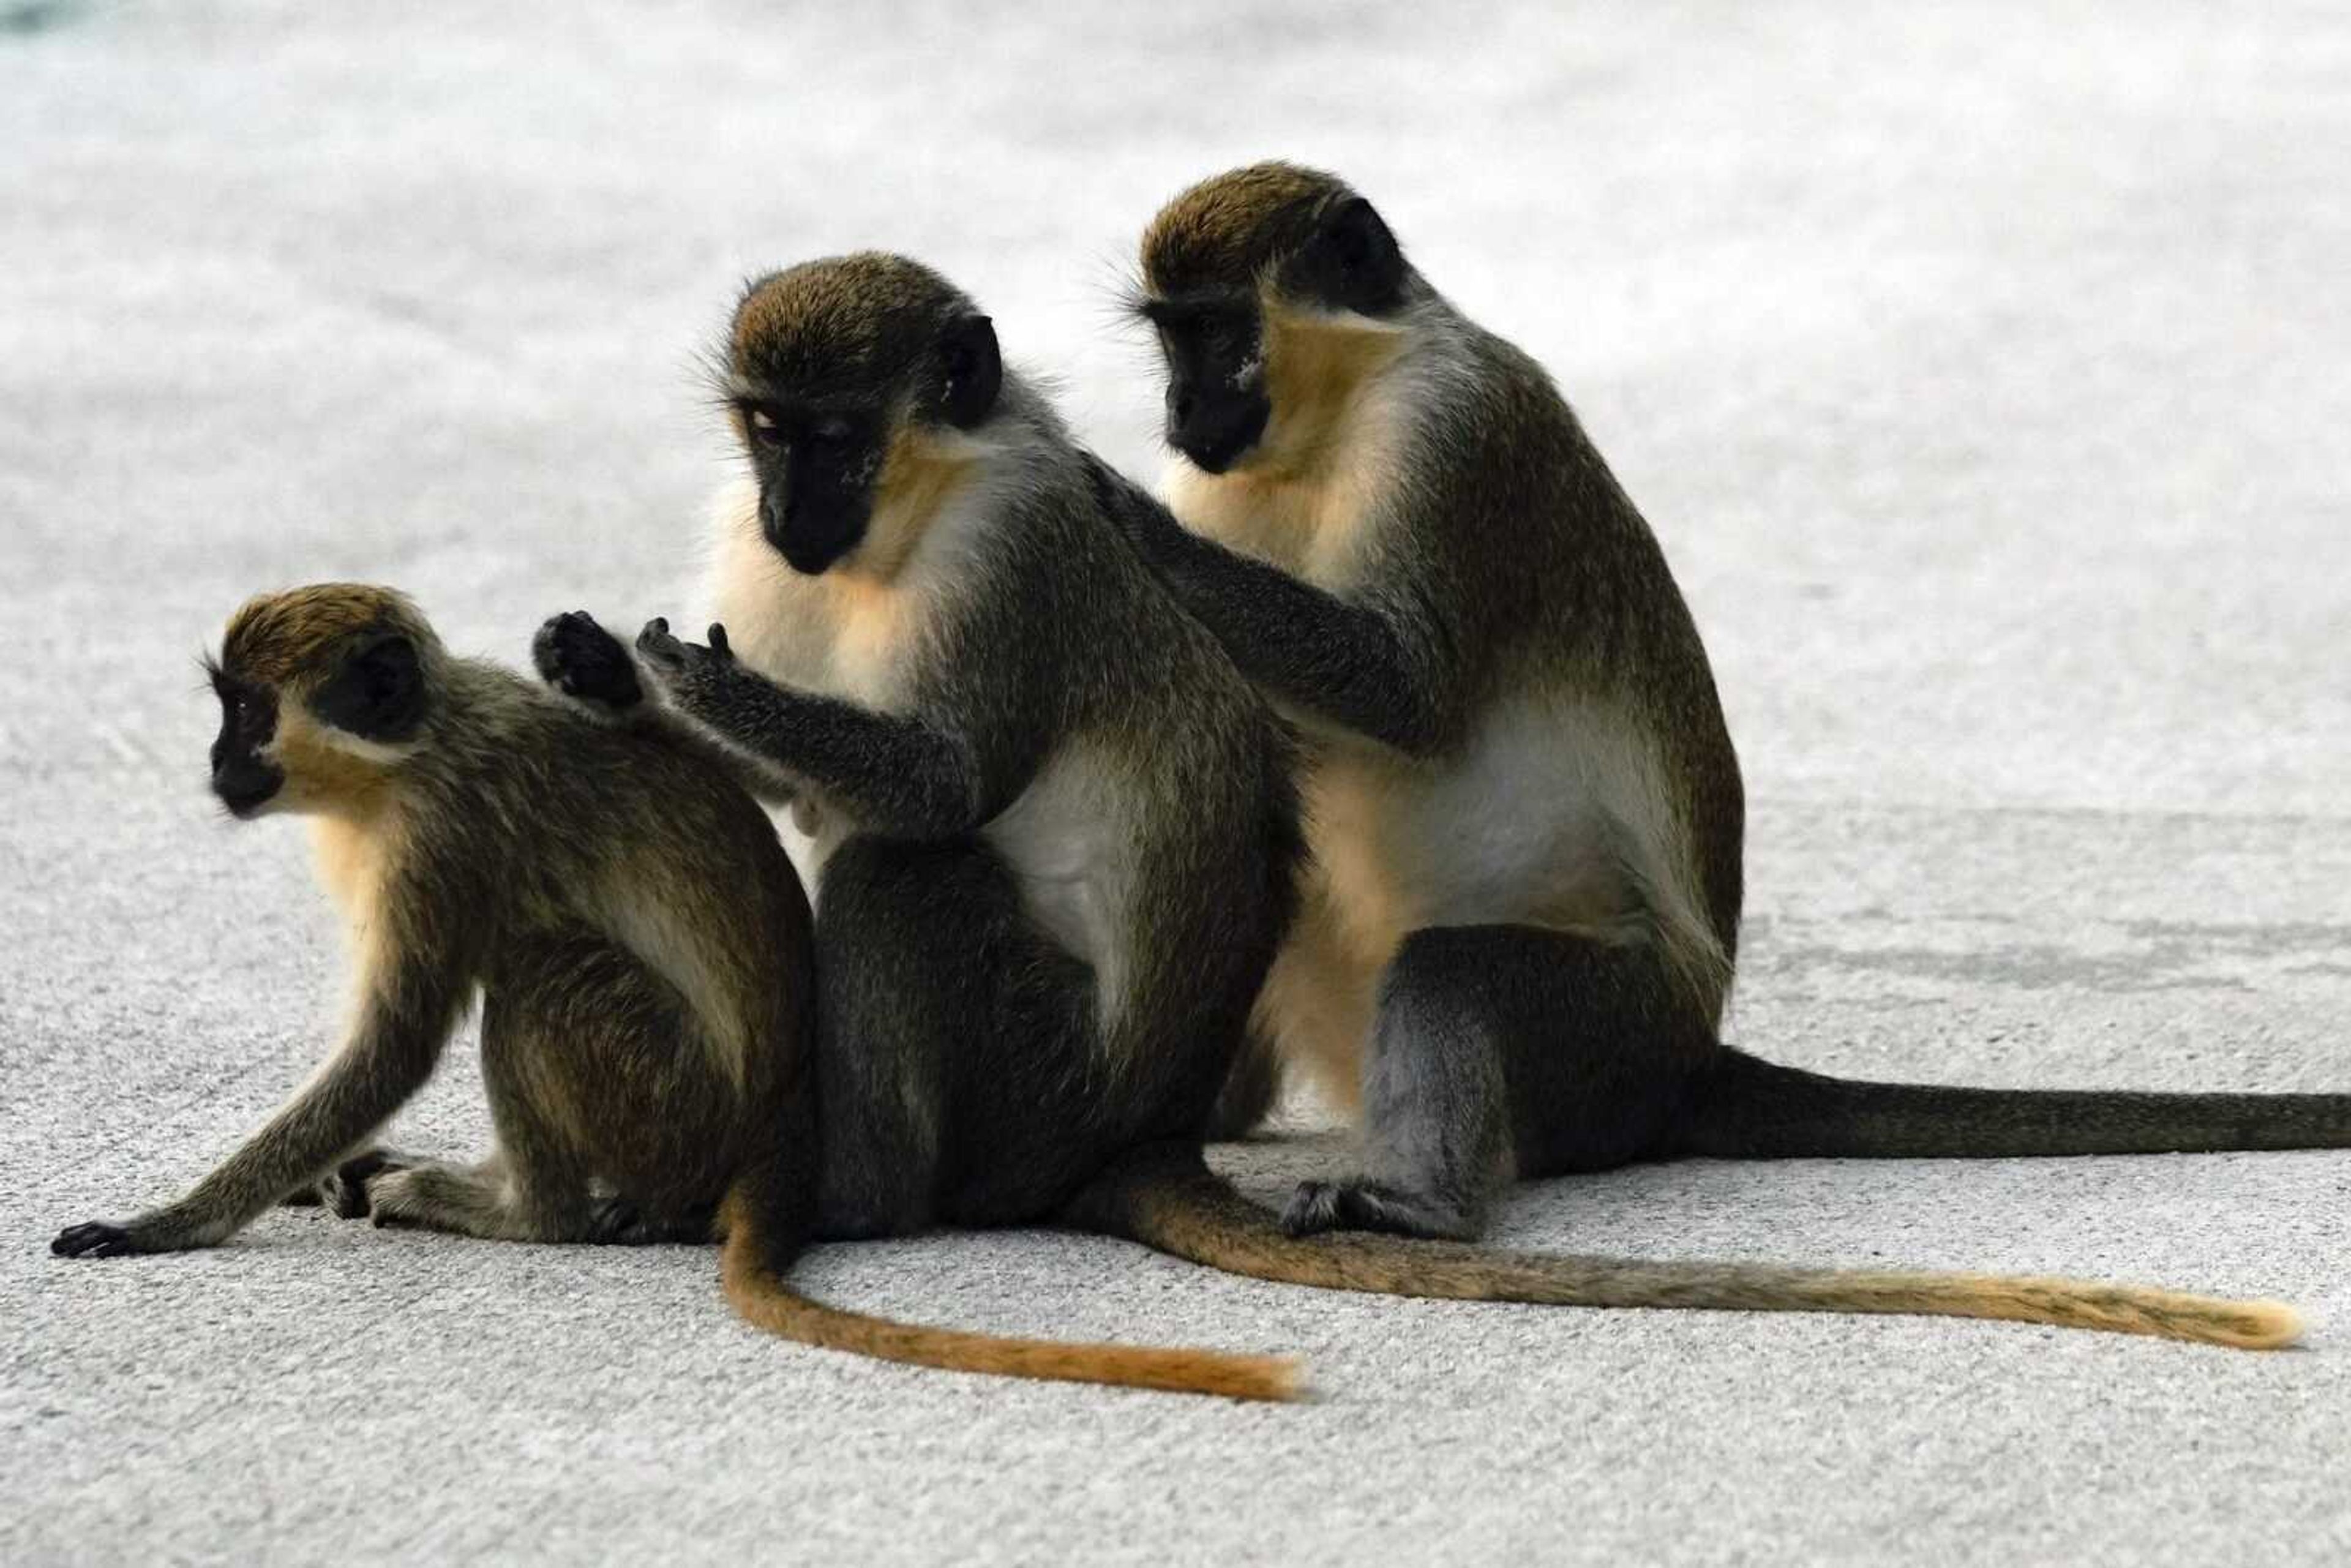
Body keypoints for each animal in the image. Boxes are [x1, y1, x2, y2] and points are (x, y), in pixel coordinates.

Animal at [50, 585, 1307, 1401]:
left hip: (668, 1102)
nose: (218, 765)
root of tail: (768, 1126)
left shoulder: (440, 840)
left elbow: (393, 1049)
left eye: (247, 714)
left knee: (540, 974)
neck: (414, 752)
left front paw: (164, 1224)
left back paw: (525, 1209)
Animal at [529, 255, 2294, 1354]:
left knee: (916, 872)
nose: (790, 507)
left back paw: (873, 1199)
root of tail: (1126, 1127)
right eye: (765, 432)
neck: (905, 520)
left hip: (1046, 1081)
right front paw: (605, 673)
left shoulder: (1016, 556)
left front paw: (674, 685)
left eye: (836, 435)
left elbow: (939, 785)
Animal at [1109, 156, 2351, 1241]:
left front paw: (1118, 514)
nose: (1180, 406)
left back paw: (1423, 1202)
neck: (1335, 419)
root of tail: (1694, 1060)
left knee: (1450, 970)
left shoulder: (1454, 434)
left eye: (1214, 332)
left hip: (1616, 1042)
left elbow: (1406, 690)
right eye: (1169, 337)